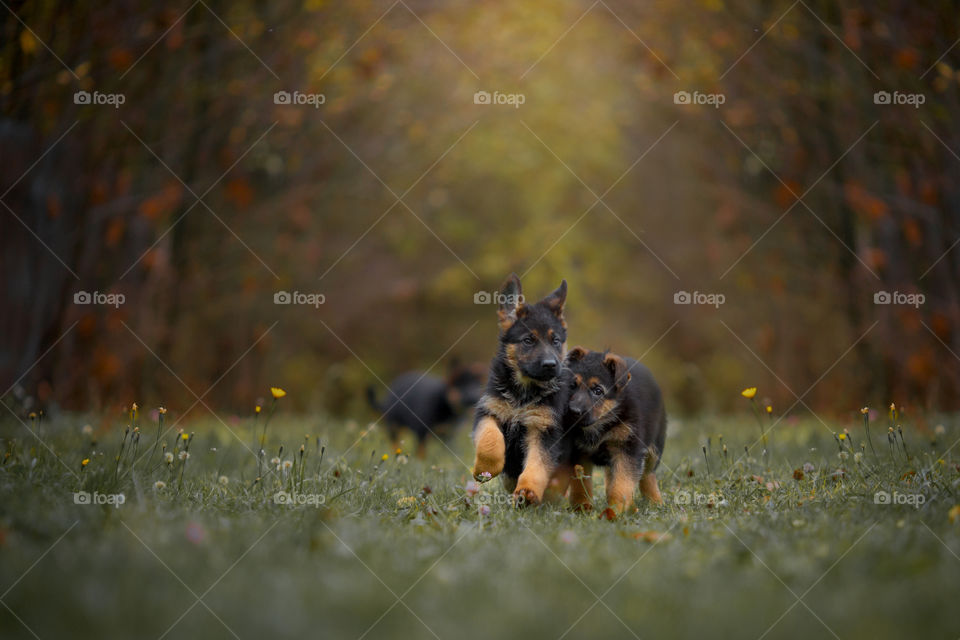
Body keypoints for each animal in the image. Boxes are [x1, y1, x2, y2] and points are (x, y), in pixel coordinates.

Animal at [472, 274, 568, 504]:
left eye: (555, 341)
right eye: (528, 340)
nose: (550, 365)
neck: (523, 392)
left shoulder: (543, 429)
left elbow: (537, 464)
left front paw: (527, 491)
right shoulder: (488, 411)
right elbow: (490, 440)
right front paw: (485, 469)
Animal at [564, 348, 668, 516]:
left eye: (598, 391)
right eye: (572, 385)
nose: (573, 411)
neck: (602, 422)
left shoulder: (627, 450)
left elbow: (621, 485)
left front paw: (614, 511)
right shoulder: (578, 453)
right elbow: (581, 483)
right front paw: (582, 508)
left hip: (654, 448)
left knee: (647, 475)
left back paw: (654, 502)